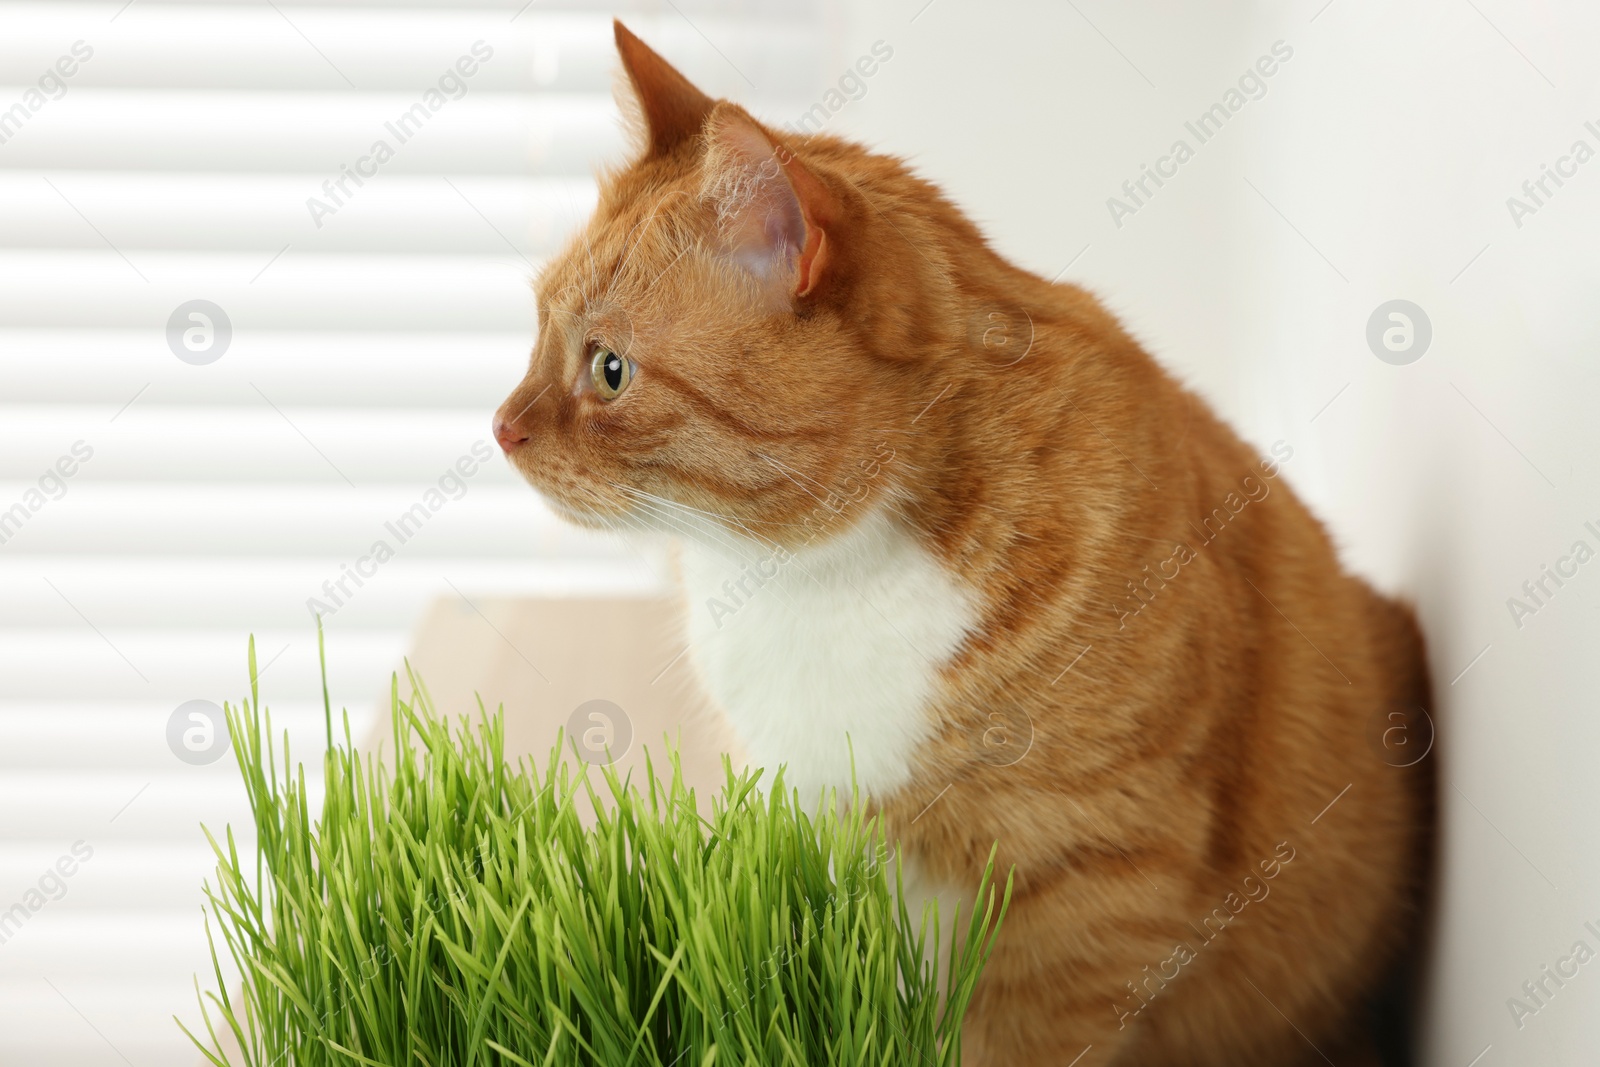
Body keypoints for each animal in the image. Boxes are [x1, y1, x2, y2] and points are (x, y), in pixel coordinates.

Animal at [492, 20, 1433, 1062]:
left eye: (610, 370)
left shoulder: (1095, 884)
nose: (500, 428)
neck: (809, 579)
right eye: (538, 330)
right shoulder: (808, 830)